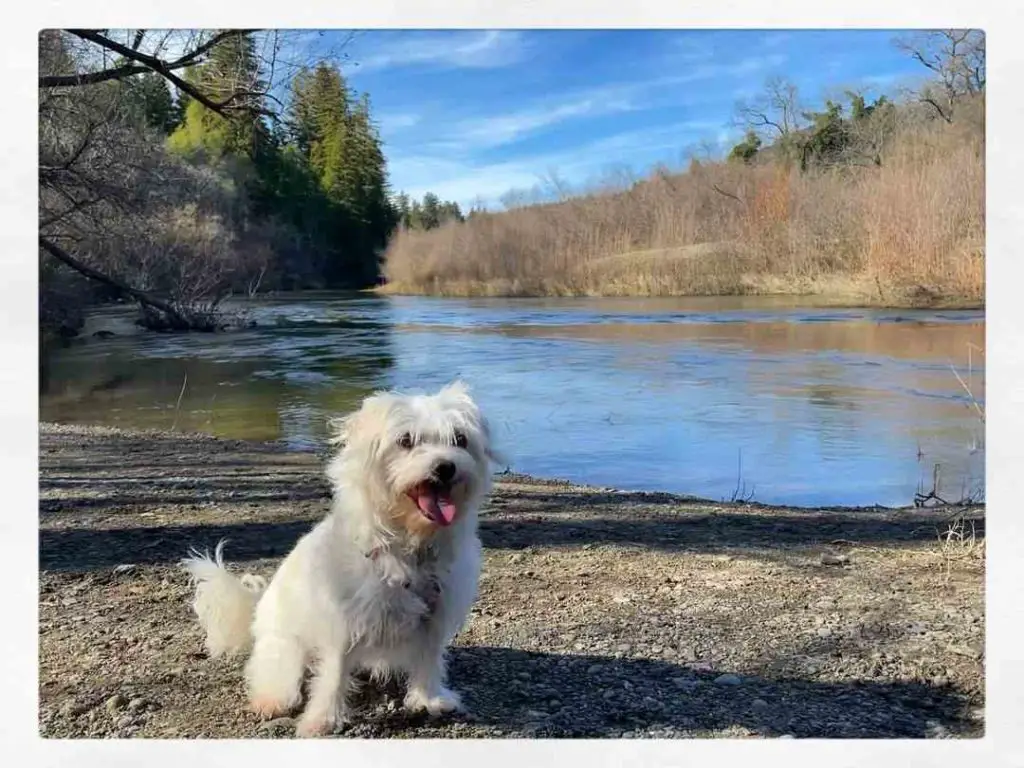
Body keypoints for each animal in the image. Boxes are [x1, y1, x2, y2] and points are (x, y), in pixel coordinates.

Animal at [182, 382, 497, 737]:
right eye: (406, 441)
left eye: (459, 439)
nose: (446, 467)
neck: (409, 544)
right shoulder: (342, 625)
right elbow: (333, 674)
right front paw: (323, 719)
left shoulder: (434, 618)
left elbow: (429, 660)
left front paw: (429, 699)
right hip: (287, 647)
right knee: (274, 673)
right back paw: (271, 699)